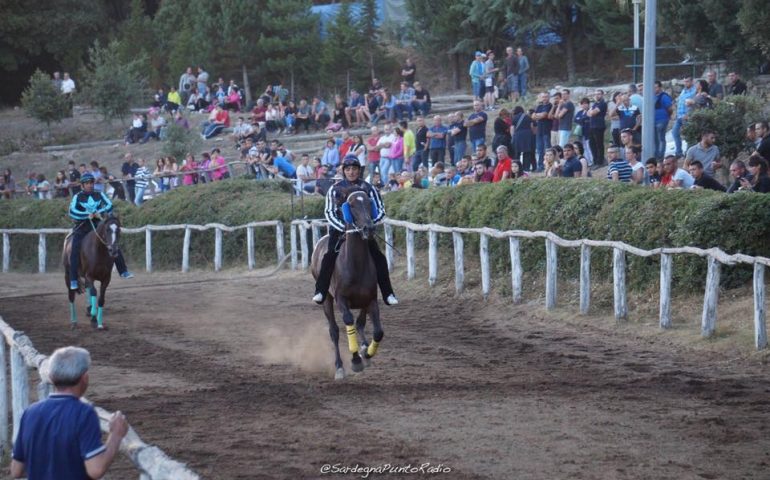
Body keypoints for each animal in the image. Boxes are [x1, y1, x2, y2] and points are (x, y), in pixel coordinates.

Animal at [308, 188, 384, 378]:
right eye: (351, 205)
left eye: (369, 203)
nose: (368, 228)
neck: (355, 265)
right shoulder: (340, 298)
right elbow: (348, 321)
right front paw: (356, 360)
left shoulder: (370, 298)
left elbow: (377, 331)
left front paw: (366, 353)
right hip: (327, 298)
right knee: (334, 331)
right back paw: (339, 366)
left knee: (360, 324)